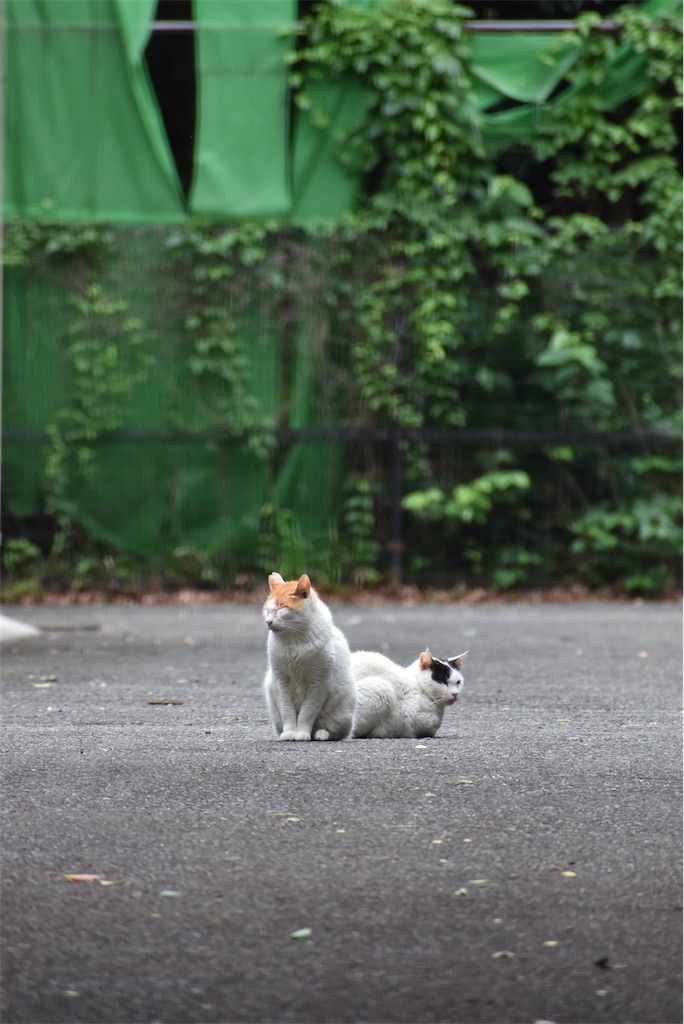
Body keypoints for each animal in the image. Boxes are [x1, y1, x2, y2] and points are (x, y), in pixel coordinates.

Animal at [264, 573, 358, 741]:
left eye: (281, 608)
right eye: (267, 610)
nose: (268, 621)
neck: (293, 640)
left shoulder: (318, 682)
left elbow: (307, 712)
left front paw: (301, 732)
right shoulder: (280, 680)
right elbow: (287, 710)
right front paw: (290, 732)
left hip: (342, 709)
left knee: (335, 731)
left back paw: (321, 733)